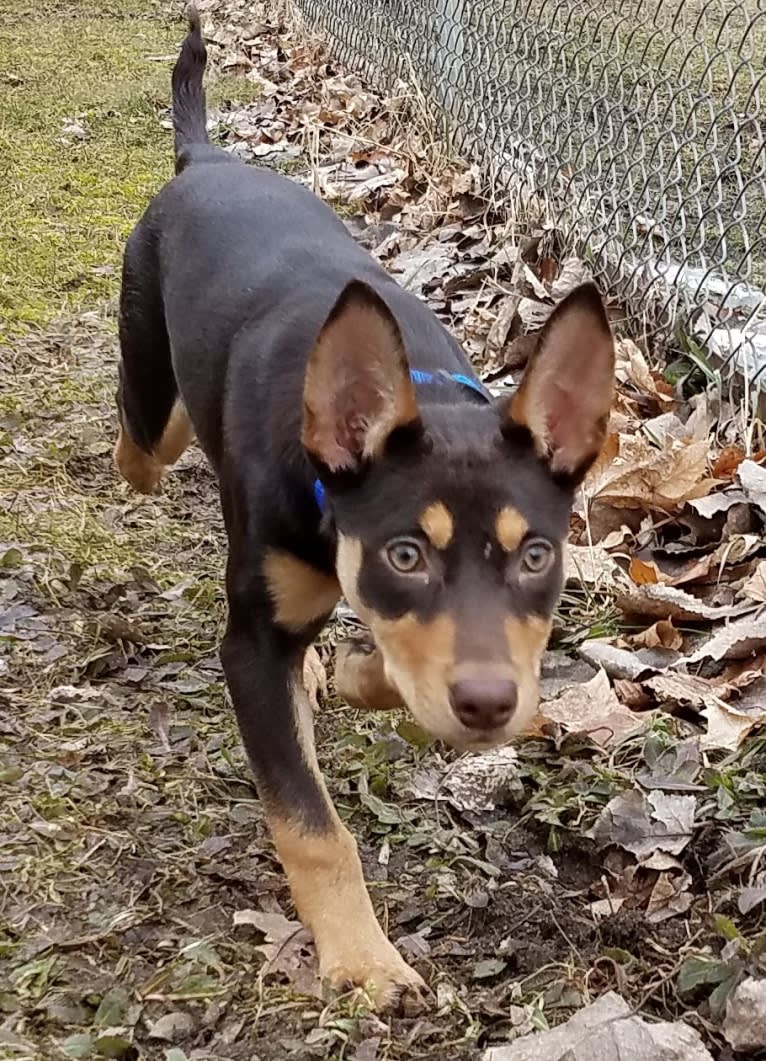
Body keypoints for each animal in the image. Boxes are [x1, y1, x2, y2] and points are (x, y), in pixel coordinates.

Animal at [113, 12, 615, 1010]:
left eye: (537, 555)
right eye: (405, 553)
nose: (492, 706)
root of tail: (205, 158)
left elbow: (390, 662)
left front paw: (353, 673)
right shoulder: (250, 647)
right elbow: (310, 823)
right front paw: (361, 960)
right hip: (157, 407)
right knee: (142, 439)